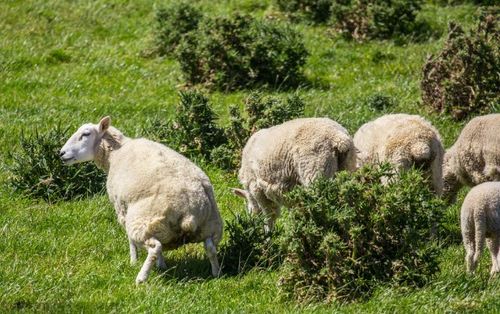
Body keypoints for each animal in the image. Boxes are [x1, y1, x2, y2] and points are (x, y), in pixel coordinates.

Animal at [59, 116, 223, 284]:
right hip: (209, 224)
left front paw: (133, 261)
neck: (115, 154)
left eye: (86, 134)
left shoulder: (122, 207)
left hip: (144, 221)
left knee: (155, 247)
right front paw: (161, 265)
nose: (61, 153)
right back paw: (216, 273)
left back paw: (141, 278)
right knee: (210, 247)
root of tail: (190, 210)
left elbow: (130, 240)